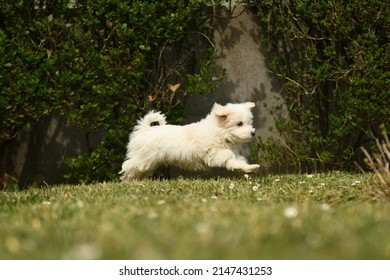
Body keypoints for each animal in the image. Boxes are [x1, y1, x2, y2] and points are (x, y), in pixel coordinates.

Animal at [119, 101, 258, 180]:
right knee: (129, 166)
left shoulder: (229, 155)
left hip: (149, 161)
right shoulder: (211, 153)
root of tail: (145, 130)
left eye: (249, 123)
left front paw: (250, 168)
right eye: (239, 124)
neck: (221, 133)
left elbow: (236, 162)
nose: (253, 133)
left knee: (141, 171)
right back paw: (127, 180)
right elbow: (228, 154)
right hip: (143, 157)